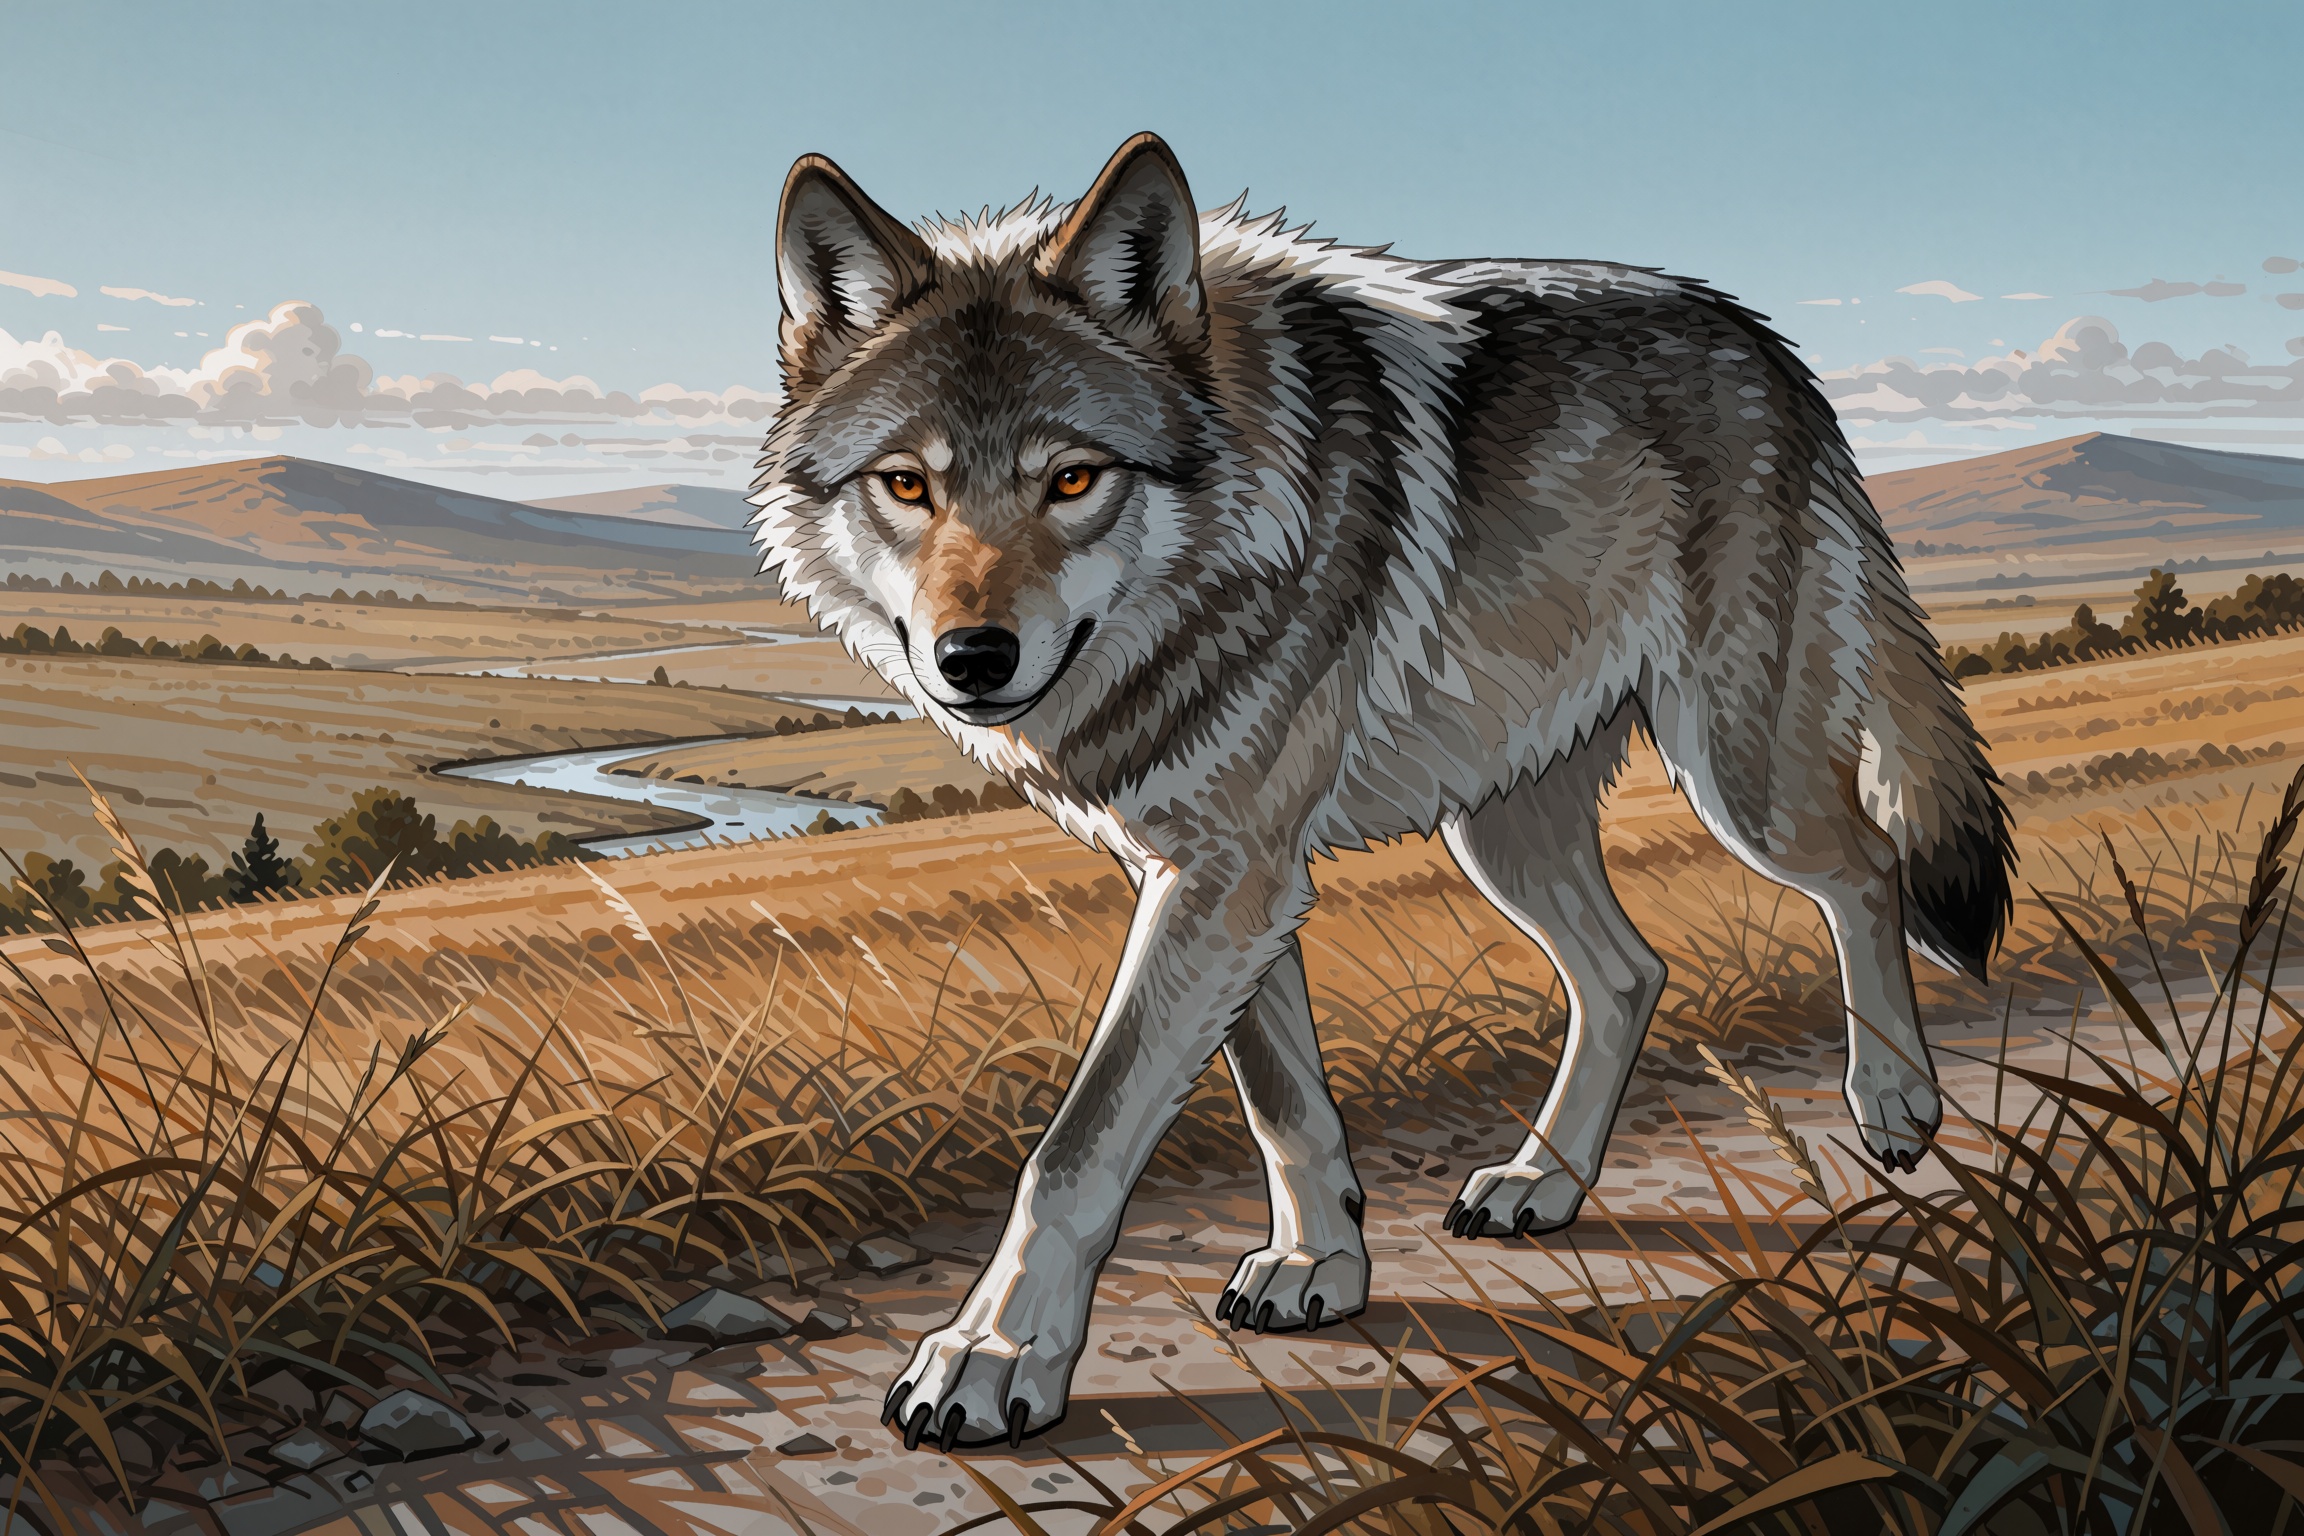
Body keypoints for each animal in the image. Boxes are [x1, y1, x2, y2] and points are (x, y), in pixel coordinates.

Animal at [749, 132, 2013, 1452]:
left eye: (1074, 480)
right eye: (907, 486)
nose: (972, 659)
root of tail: (1765, 342)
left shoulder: (1231, 881)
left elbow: (1076, 1150)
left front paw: (992, 1359)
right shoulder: (1217, 875)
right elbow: (1285, 1106)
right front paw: (1322, 1267)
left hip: (1736, 777)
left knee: (1866, 868)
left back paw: (1892, 1104)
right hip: (1501, 826)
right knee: (1630, 971)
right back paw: (1542, 1184)